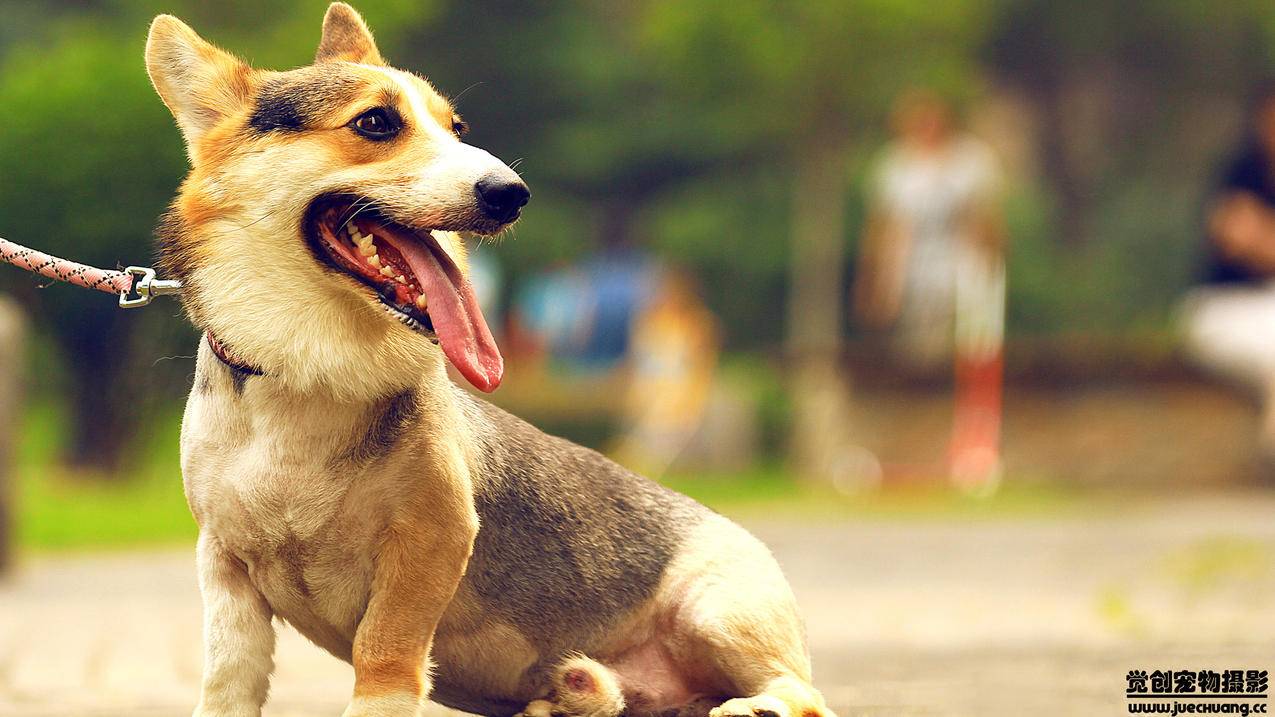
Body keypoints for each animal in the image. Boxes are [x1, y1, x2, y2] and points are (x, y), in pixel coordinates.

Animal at [146, 5, 836, 714]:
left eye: (457, 129)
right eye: (375, 122)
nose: (514, 194)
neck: (308, 369)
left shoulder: (431, 538)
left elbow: (384, 654)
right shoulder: (224, 563)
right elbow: (231, 674)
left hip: (718, 610)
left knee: (804, 692)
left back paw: (749, 703)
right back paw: (571, 694)